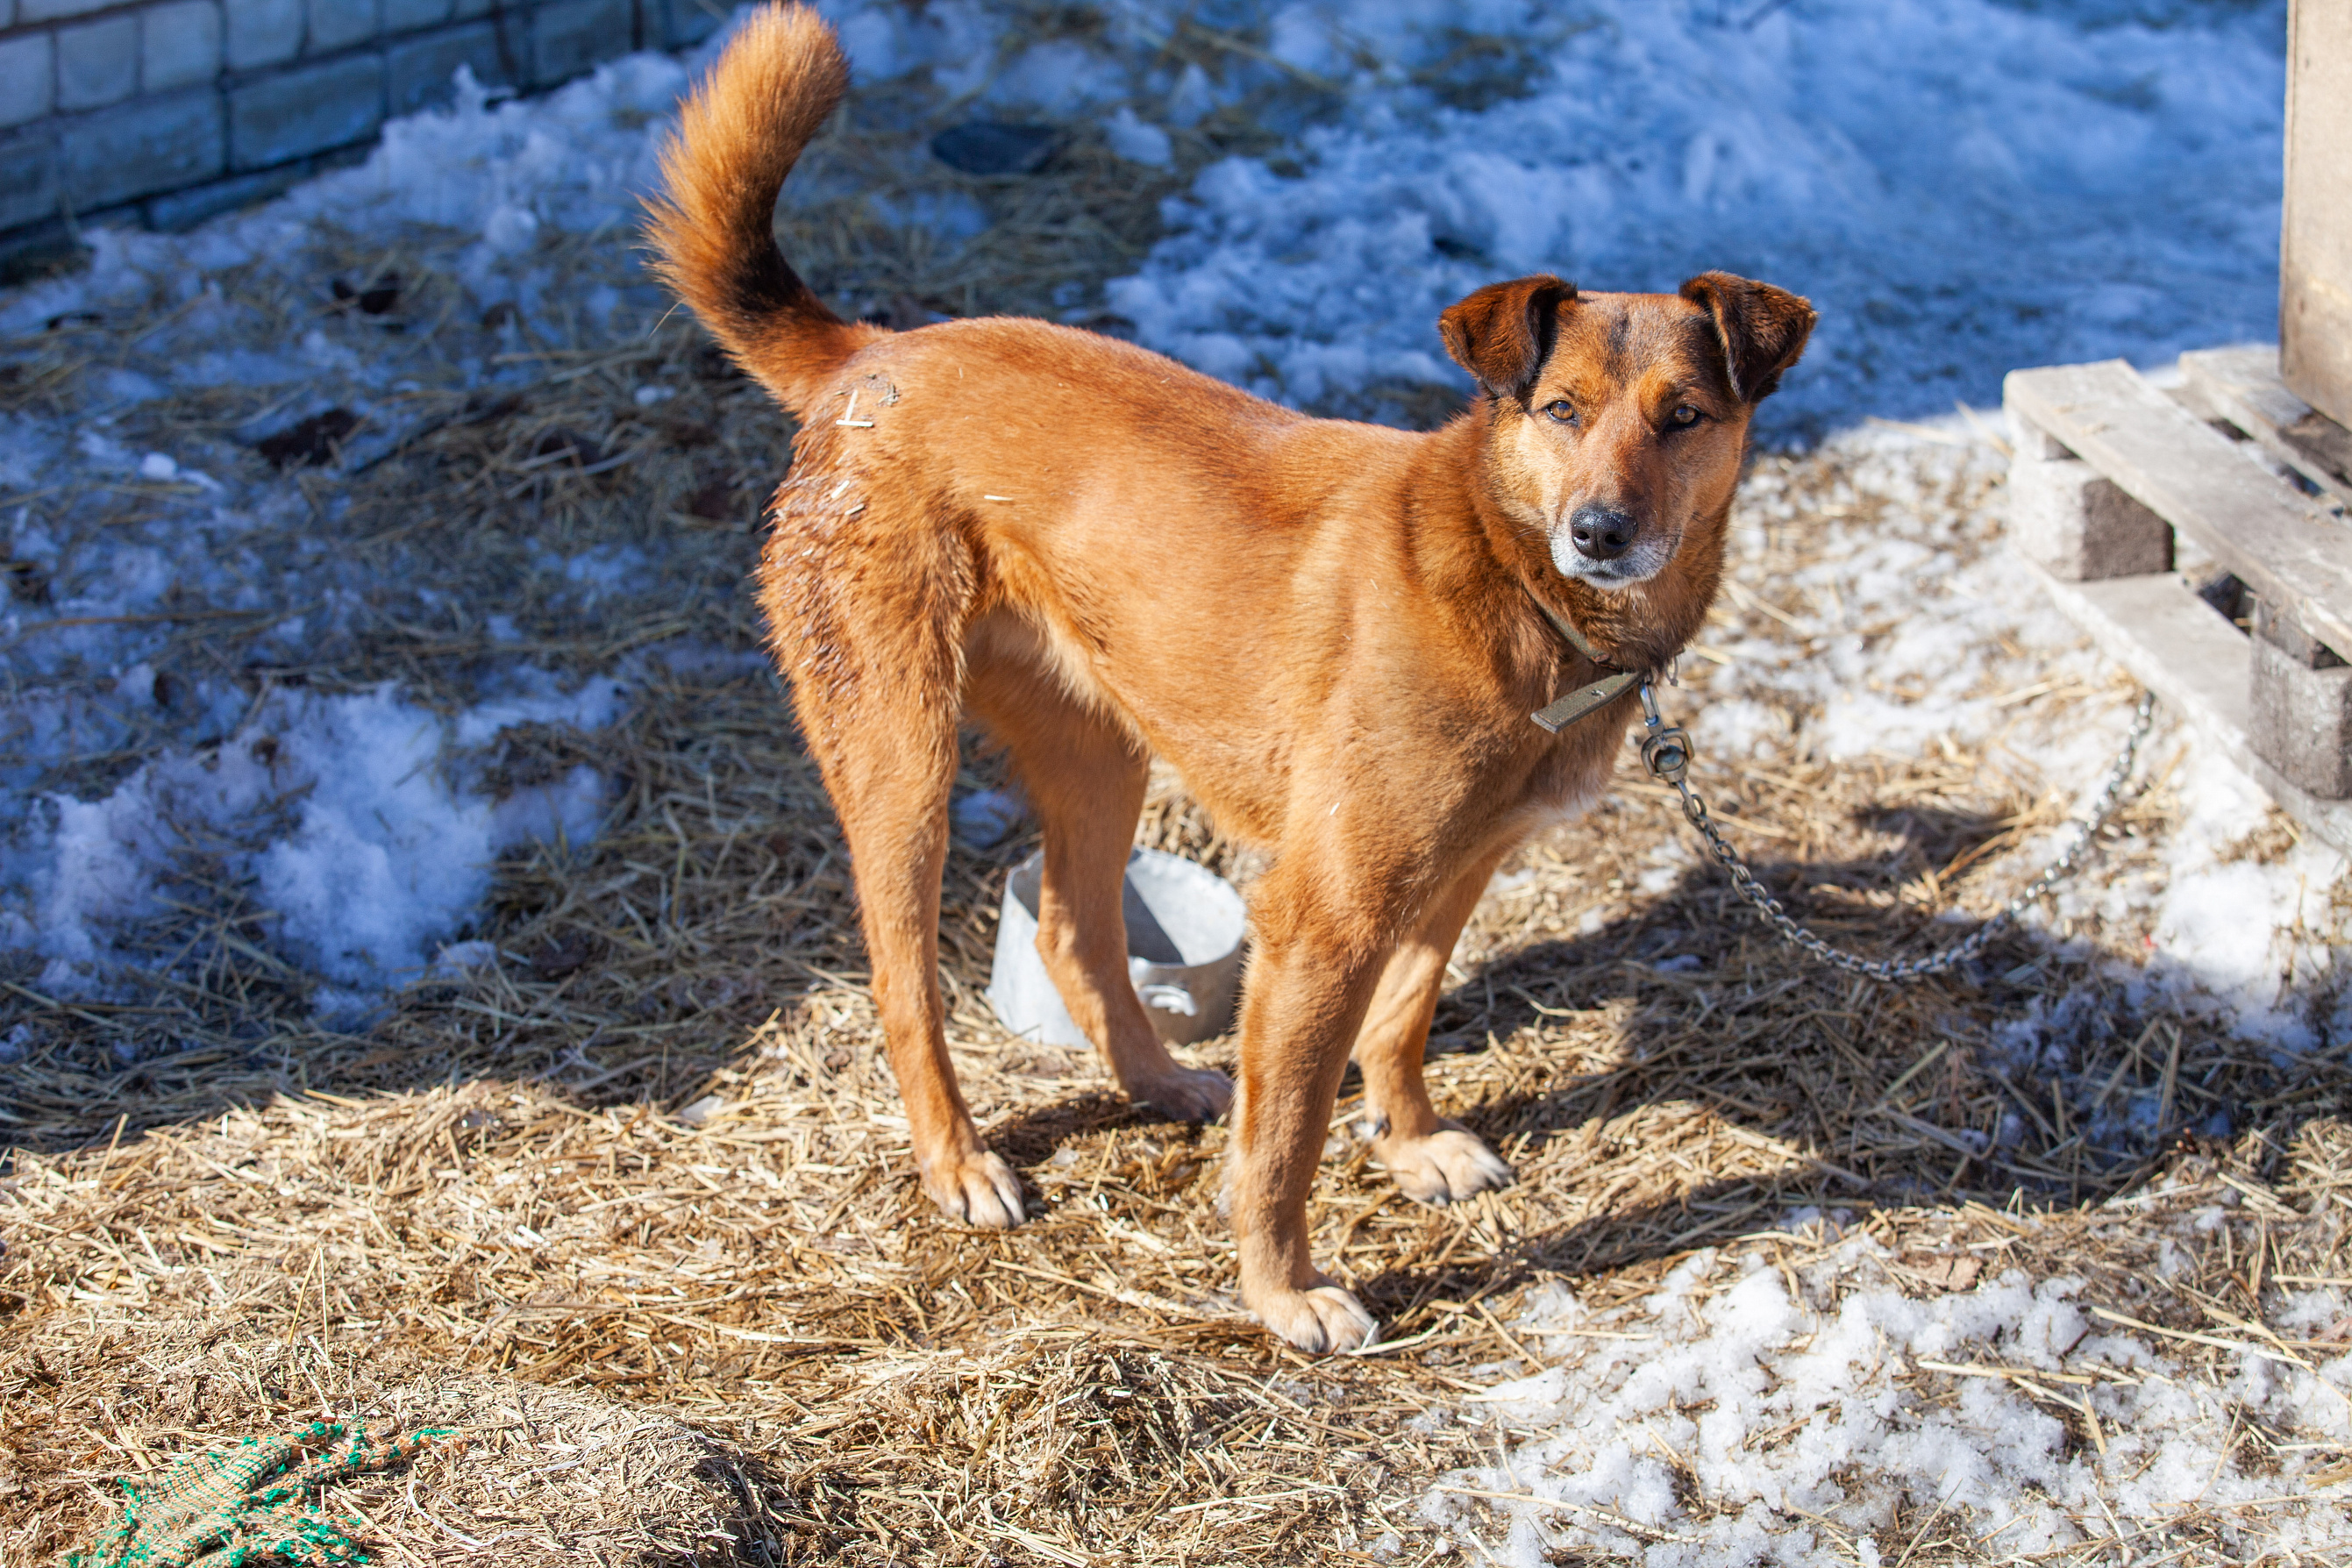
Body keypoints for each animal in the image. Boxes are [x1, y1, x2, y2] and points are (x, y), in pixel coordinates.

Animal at [646, 4, 1813, 1352]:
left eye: (1683, 417)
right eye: (1561, 410)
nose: (1602, 533)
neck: (1513, 584)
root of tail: (872, 355)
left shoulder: (1457, 869)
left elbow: (1404, 1018)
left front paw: (1410, 1144)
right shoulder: (1323, 916)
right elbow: (1287, 1137)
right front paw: (1282, 1290)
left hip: (1102, 745)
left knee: (1073, 929)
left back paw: (1157, 1080)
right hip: (901, 757)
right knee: (901, 975)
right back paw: (959, 1161)